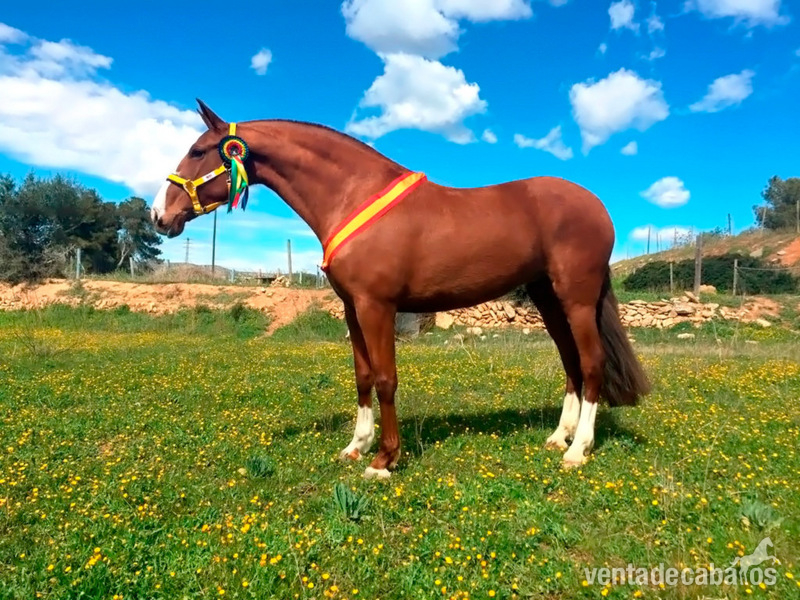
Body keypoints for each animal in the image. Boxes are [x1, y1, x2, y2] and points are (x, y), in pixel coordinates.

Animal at [151, 100, 650, 479]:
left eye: (198, 150)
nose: (160, 215)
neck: (353, 195)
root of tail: (596, 206)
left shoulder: (378, 307)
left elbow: (386, 379)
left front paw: (384, 459)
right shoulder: (352, 308)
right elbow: (363, 377)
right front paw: (356, 445)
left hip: (576, 298)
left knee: (591, 363)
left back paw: (578, 450)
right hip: (548, 299)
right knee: (570, 364)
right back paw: (558, 437)